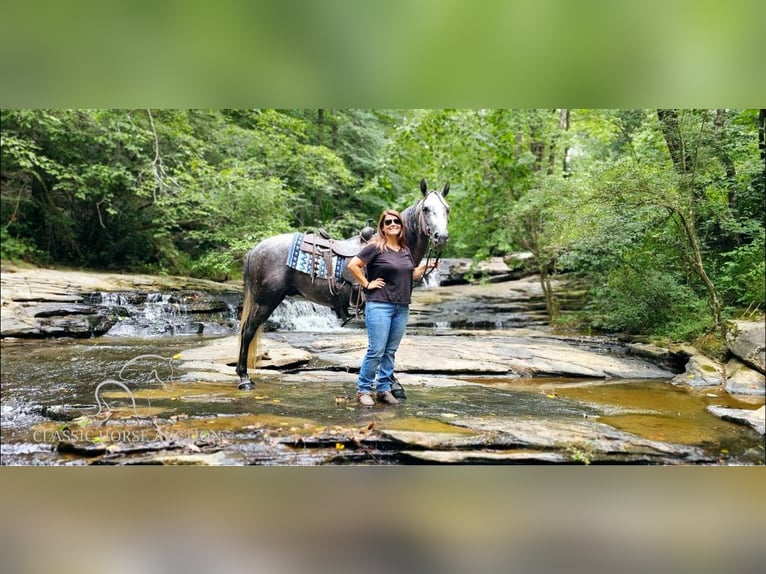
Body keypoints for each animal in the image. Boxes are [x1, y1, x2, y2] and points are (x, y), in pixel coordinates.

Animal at [236, 180, 450, 392]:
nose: (441, 237)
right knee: (247, 331)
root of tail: (255, 249)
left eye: (447, 209)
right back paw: (244, 378)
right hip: (265, 301)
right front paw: (393, 384)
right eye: (426, 209)